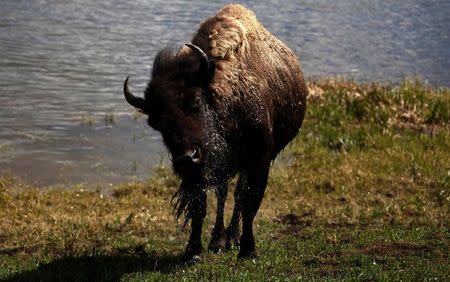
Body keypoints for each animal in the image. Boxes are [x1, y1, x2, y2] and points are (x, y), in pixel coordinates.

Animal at [121, 3, 308, 260]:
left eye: (195, 102)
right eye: (156, 123)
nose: (187, 157)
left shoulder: (259, 161)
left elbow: (249, 203)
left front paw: (248, 250)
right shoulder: (202, 171)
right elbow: (200, 206)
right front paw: (193, 251)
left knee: (237, 196)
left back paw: (232, 239)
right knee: (223, 195)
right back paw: (219, 241)